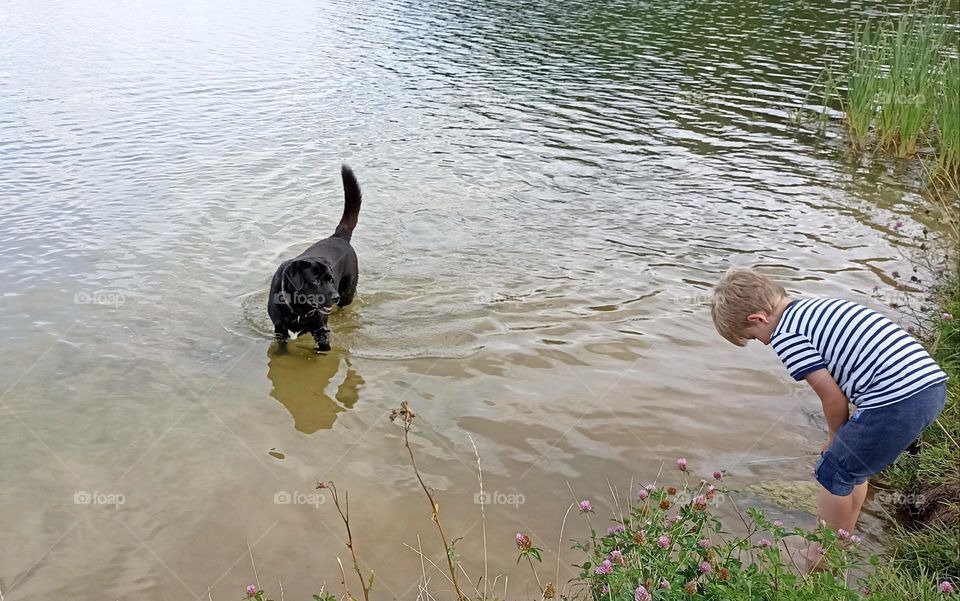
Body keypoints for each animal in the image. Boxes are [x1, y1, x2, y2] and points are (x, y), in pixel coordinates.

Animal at [268, 164, 362, 352]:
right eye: (316, 281)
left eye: (331, 280)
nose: (335, 297)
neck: (297, 310)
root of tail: (338, 236)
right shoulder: (279, 330)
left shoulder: (321, 329)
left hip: (347, 292)